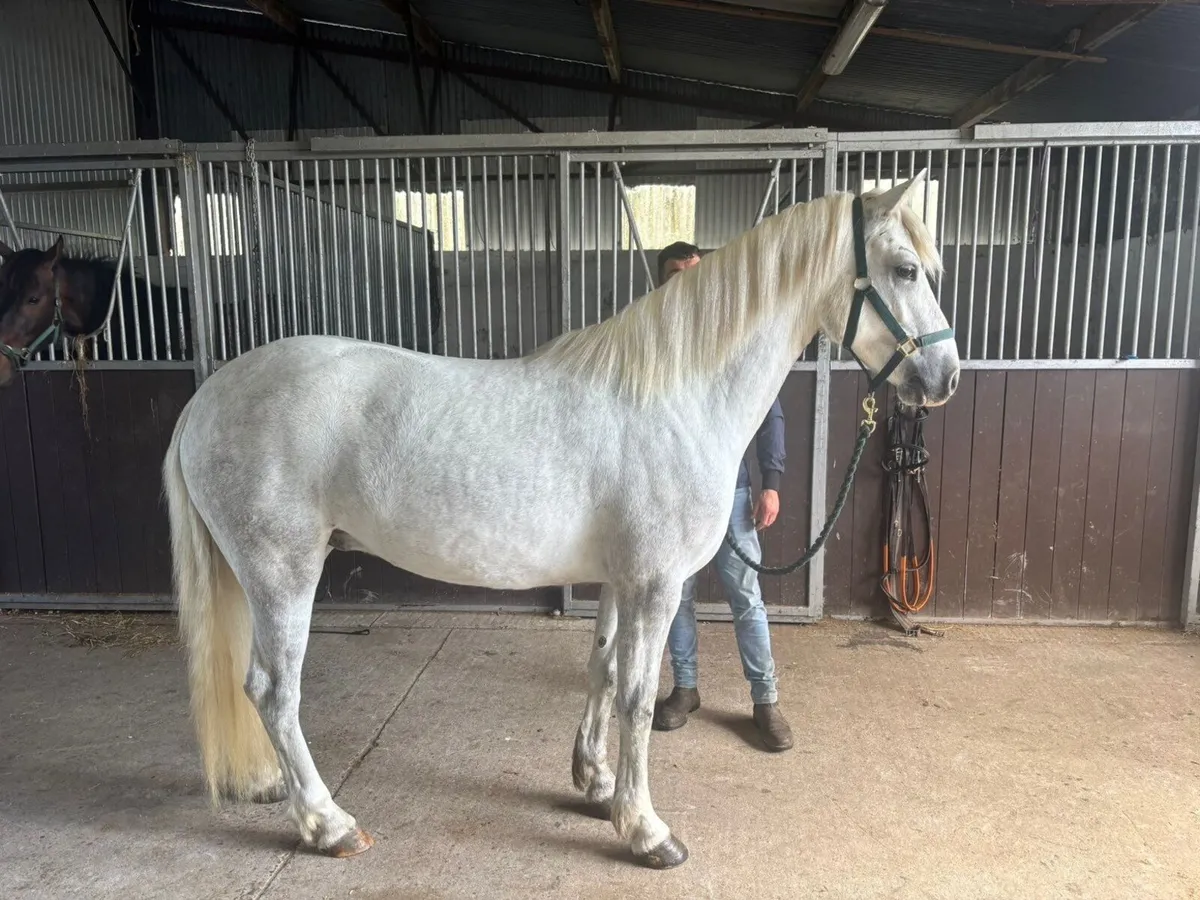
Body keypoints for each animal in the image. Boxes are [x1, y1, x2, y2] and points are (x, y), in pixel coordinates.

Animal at [161, 173, 960, 868]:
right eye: (903, 270)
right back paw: (328, 823)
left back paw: (272, 788)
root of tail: (205, 402)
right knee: (274, 691)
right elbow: (638, 697)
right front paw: (645, 831)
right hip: (282, 572)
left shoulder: (618, 580)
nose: (943, 379)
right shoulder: (655, 584)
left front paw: (596, 784)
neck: (676, 396)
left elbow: (603, 672)